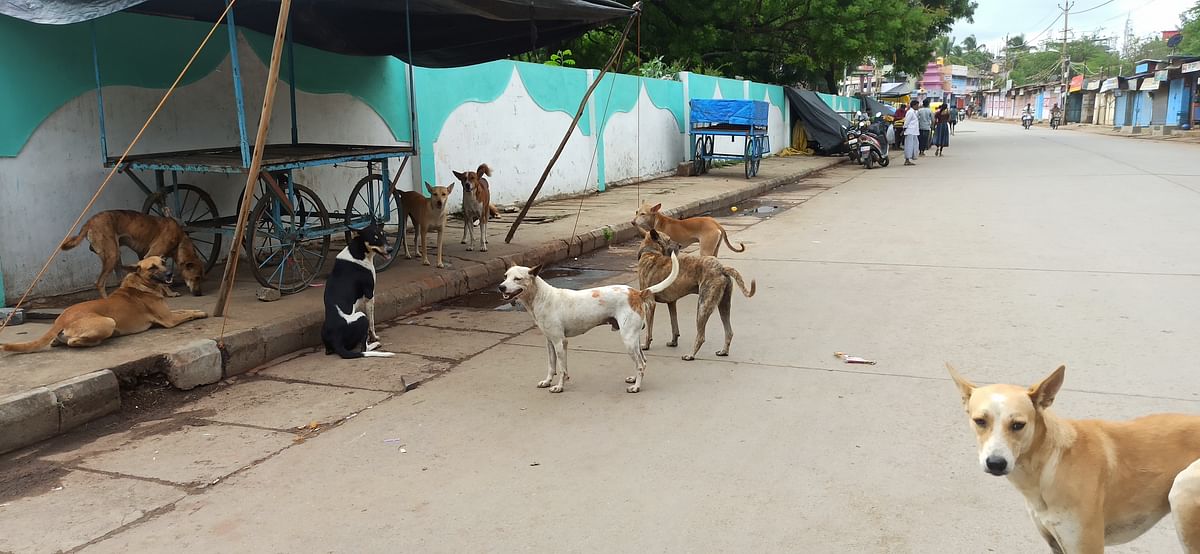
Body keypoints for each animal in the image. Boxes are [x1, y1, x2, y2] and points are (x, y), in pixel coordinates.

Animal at [0, 256, 210, 352]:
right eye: (152, 268)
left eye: (163, 262)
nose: (170, 274)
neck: (141, 284)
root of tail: (61, 319)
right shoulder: (169, 320)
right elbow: (186, 314)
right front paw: (200, 313)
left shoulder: (169, 313)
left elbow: (185, 309)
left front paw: (196, 309)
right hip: (109, 321)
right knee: (73, 342)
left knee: (57, 342)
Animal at [60, 209, 206, 298]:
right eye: (197, 277)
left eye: (200, 278)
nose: (199, 294)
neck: (180, 240)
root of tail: (89, 222)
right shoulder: (151, 255)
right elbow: (162, 280)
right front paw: (169, 293)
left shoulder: (145, 258)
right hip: (112, 255)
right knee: (99, 282)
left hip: (115, 256)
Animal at [321, 225, 396, 359]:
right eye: (375, 238)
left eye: (384, 234)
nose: (390, 250)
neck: (358, 251)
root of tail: (336, 339)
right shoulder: (370, 296)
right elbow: (372, 322)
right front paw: (374, 337)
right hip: (362, 317)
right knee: (363, 347)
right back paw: (374, 345)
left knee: (329, 351)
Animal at [496, 250, 681, 393]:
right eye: (505, 276)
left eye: (517, 279)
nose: (501, 287)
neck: (542, 297)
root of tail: (637, 293)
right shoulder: (550, 342)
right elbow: (551, 366)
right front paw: (548, 381)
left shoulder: (560, 342)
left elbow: (562, 369)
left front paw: (559, 387)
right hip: (633, 340)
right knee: (643, 360)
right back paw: (634, 379)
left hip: (628, 340)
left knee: (641, 364)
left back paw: (636, 387)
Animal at [945, 364, 1200, 554]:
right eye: (980, 421)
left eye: (1018, 425)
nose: (996, 463)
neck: (1051, 465)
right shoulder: (1056, 543)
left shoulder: (1087, 545)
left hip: (1183, 489)